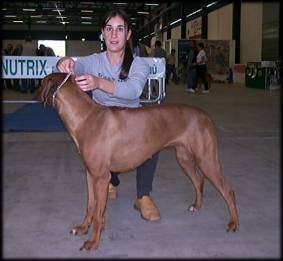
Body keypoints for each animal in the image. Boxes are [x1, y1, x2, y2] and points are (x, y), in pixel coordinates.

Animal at [38, 71, 240, 250]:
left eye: (41, 82)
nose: (35, 94)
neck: (85, 117)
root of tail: (205, 115)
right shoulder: (90, 174)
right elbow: (91, 206)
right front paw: (82, 228)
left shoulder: (101, 177)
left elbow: (98, 213)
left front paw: (93, 242)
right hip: (184, 158)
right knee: (198, 180)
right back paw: (196, 206)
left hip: (207, 160)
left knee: (228, 191)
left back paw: (234, 223)